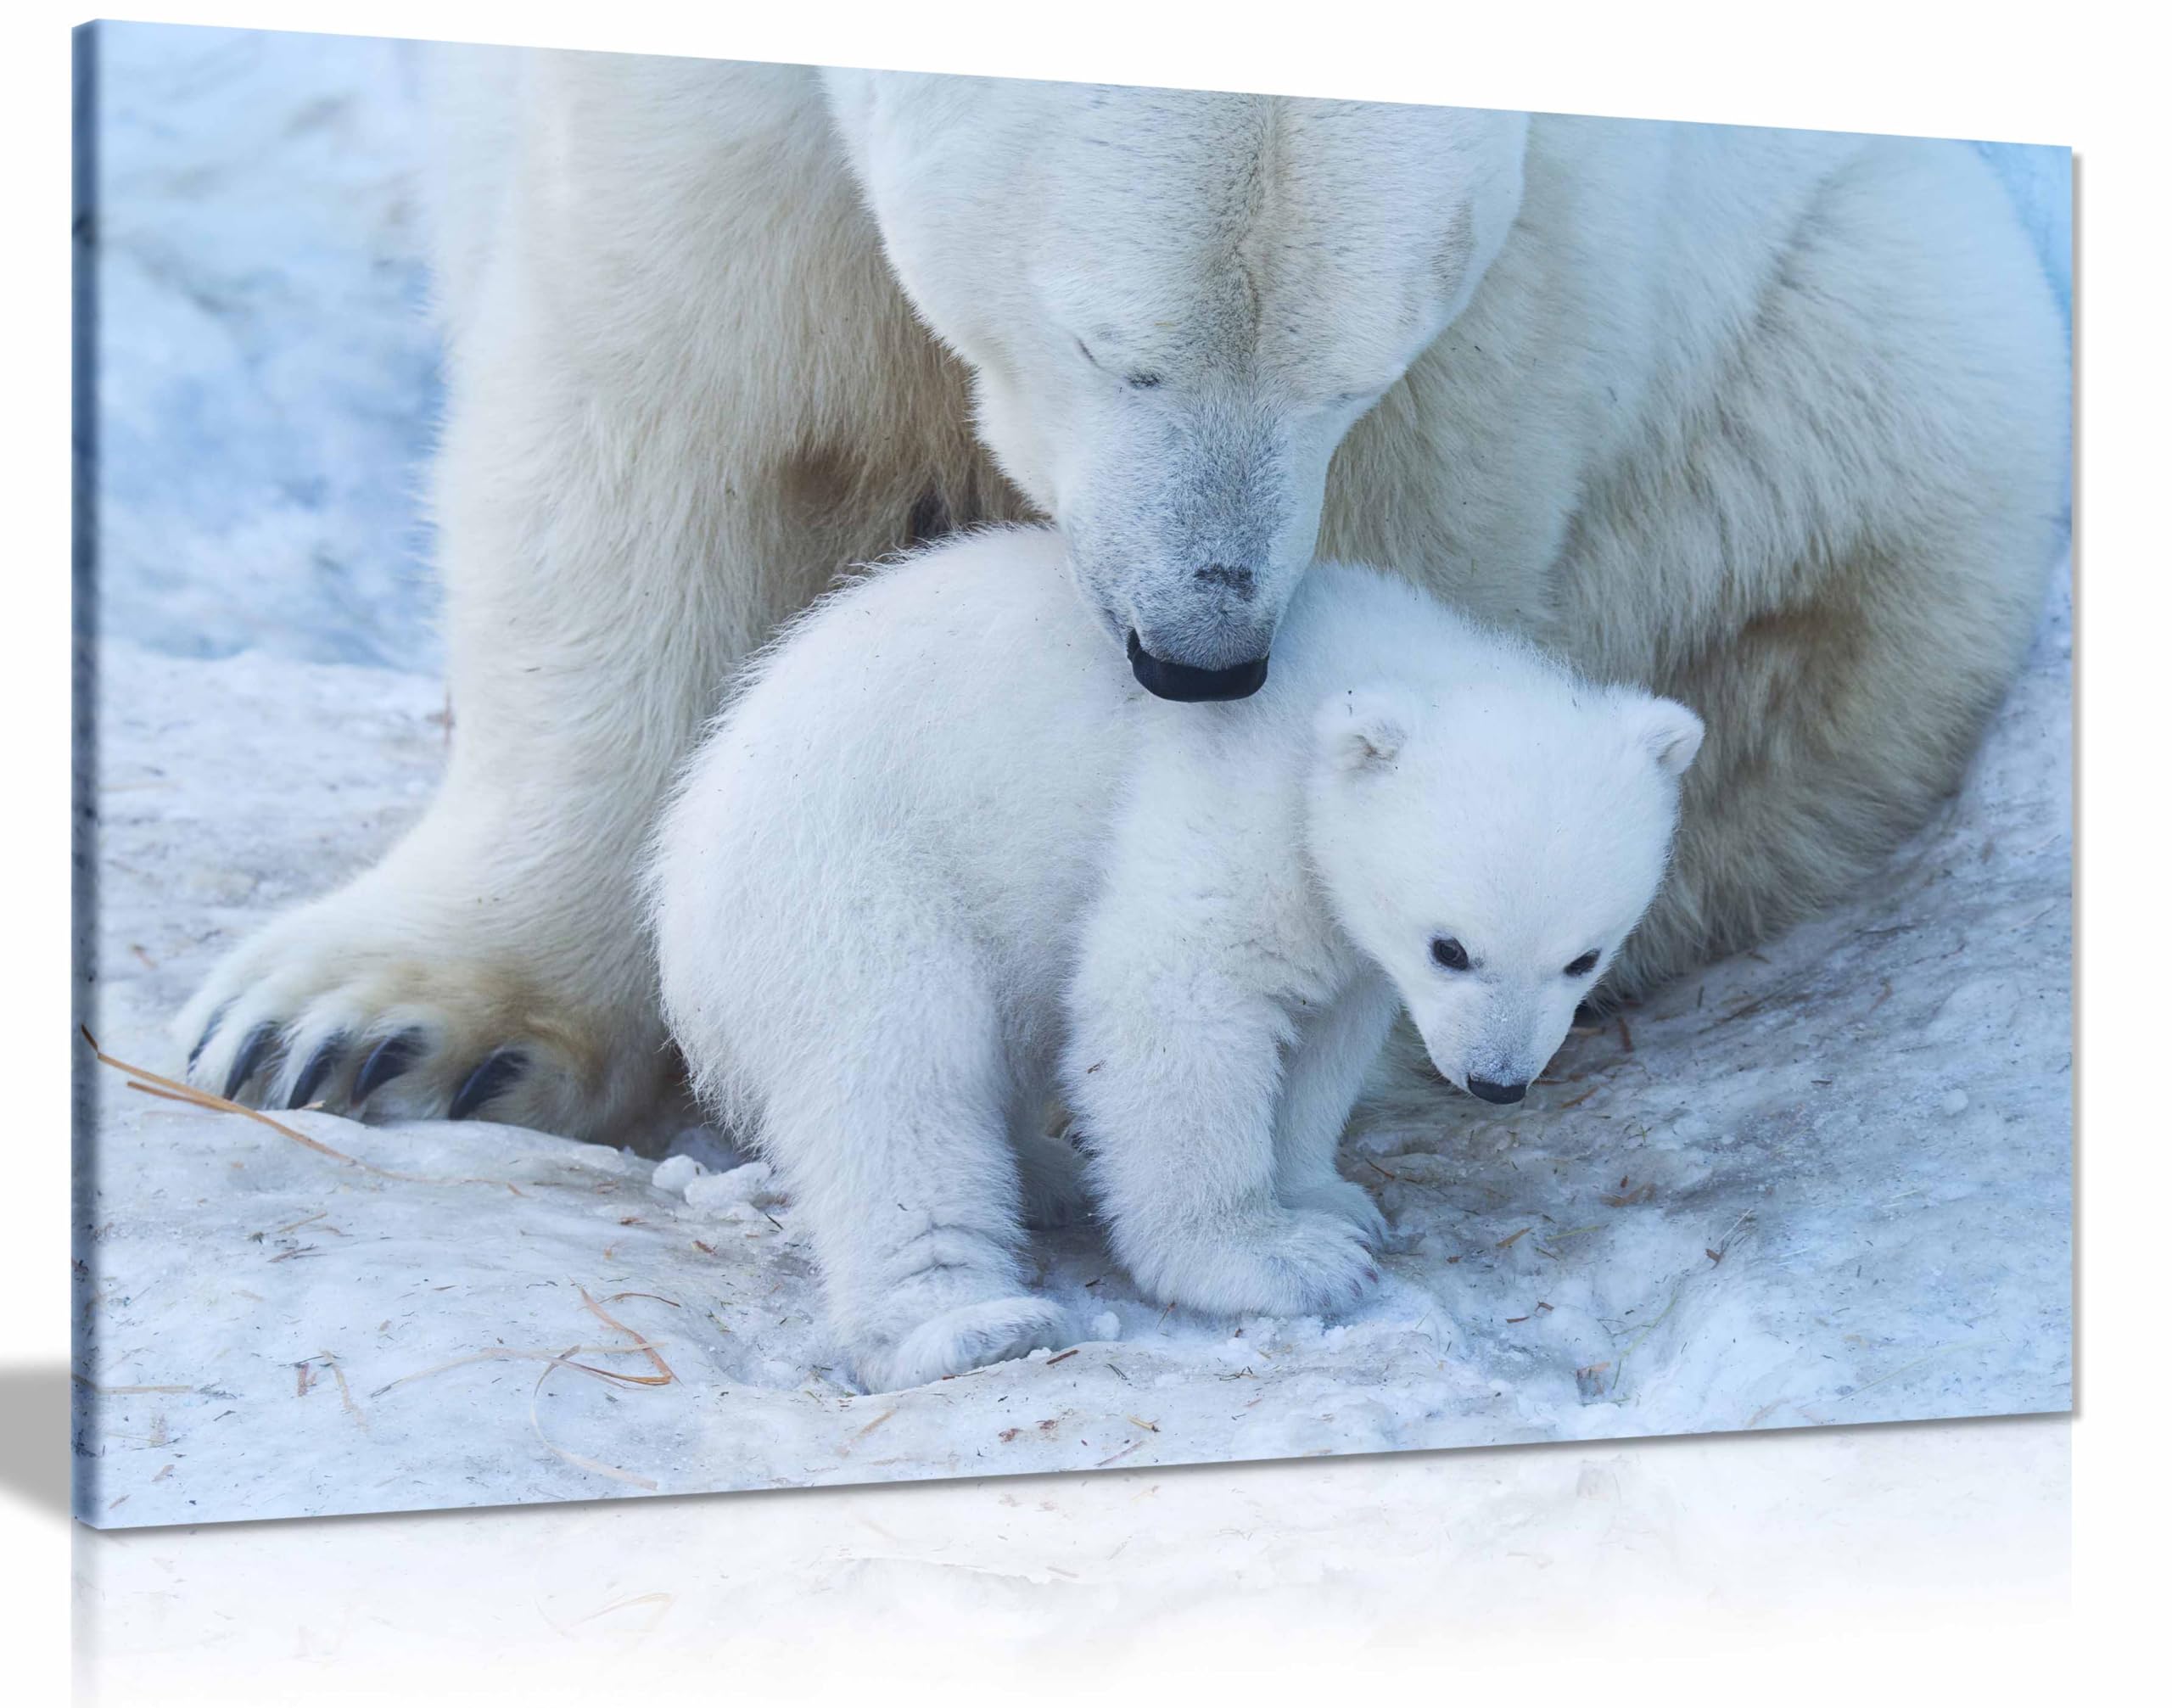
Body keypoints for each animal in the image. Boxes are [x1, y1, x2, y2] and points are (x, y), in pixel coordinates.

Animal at [177, 53, 2065, 1150]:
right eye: (1111, 347)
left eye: (1349, 371)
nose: (1199, 649)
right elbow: (659, 403)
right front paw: (365, 1025)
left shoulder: (1543, 265)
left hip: (1859, 348)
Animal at [649, 526, 1703, 1391]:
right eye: (1450, 948)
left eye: (1582, 958)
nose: (1497, 1082)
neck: (1348, 674)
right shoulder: (1228, 793)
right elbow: (1176, 1004)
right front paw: (1275, 1261)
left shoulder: (1343, 925)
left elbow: (1323, 1037)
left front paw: (1330, 1202)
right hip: (849, 880)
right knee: (895, 1082)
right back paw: (967, 1322)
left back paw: (1046, 1174)